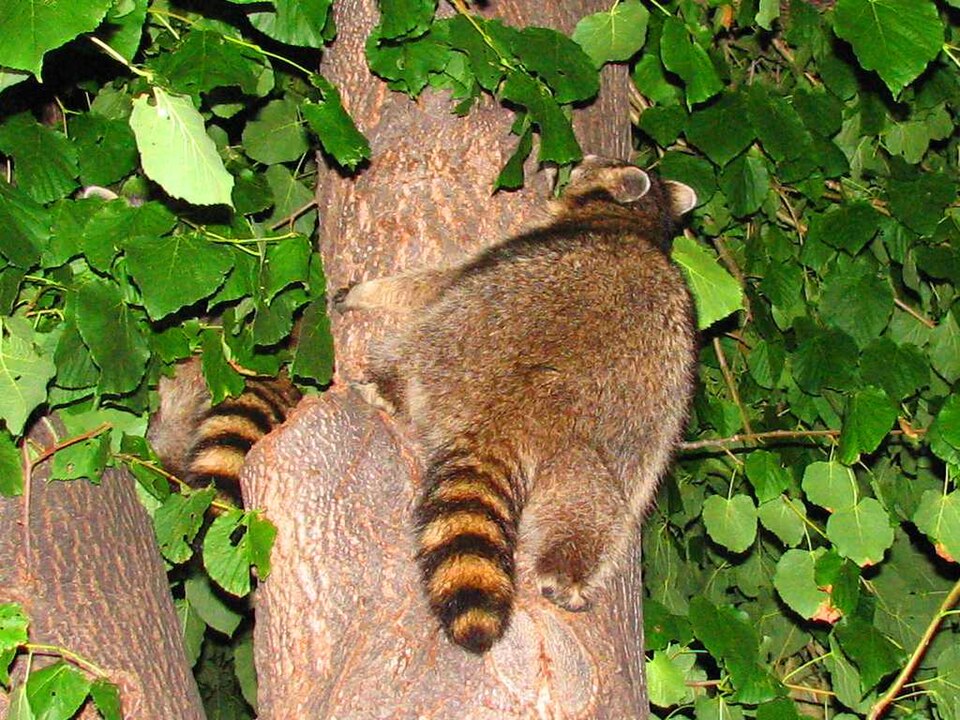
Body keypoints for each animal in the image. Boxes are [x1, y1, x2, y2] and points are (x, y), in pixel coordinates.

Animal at [338, 156, 698, 653]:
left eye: (591, 166)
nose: (573, 162)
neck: (637, 221)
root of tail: (512, 416)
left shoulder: (518, 247)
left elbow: (439, 281)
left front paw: (370, 291)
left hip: (462, 339)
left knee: (425, 335)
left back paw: (388, 382)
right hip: (585, 455)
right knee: (593, 507)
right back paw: (567, 567)